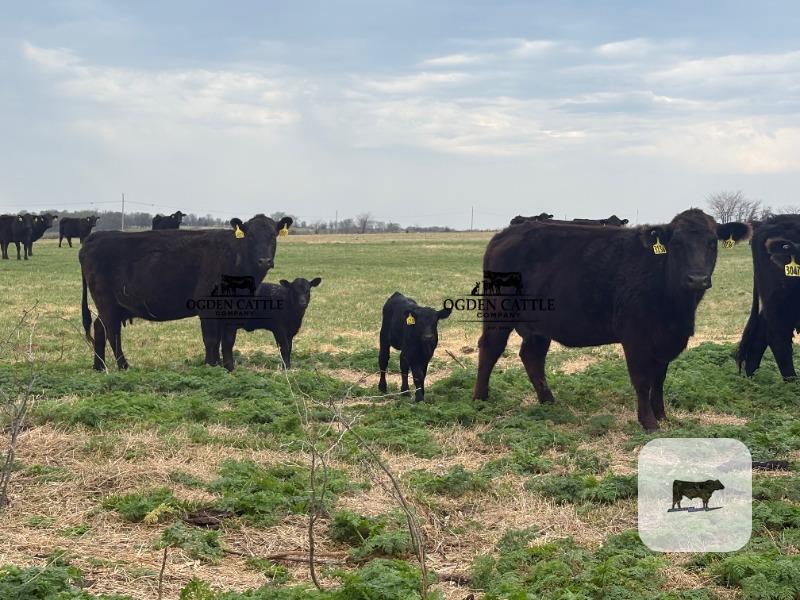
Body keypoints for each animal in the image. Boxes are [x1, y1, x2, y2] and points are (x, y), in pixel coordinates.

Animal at [79, 214, 292, 370]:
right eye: (250, 237)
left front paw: (228, 367)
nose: (264, 260)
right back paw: (123, 366)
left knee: (99, 328)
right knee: (112, 332)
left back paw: (99, 367)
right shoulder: (207, 306)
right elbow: (211, 339)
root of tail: (95, 237)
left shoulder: (231, 309)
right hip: (106, 302)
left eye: (273, 236)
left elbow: (227, 339)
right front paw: (211, 366)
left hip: (112, 306)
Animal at [472, 209, 751, 431]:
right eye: (678, 244)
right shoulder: (635, 336)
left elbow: (659, 379)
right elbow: (642, 380)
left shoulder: (665, 339)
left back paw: (548, 402)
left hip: (540, 324)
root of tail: (506, 234)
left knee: (532, 357)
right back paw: (480, 400)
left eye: (712, 243)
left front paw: (663, 416)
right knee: (490, 348)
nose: (697, 279)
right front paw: (648, 422)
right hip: (498, 312)